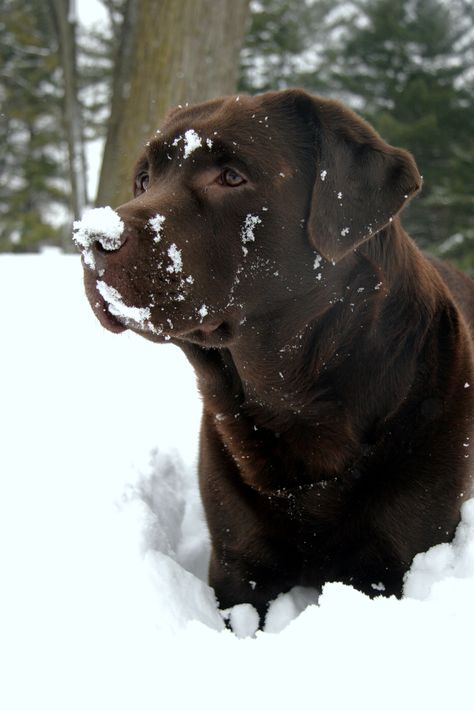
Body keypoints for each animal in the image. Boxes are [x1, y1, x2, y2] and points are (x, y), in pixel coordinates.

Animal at [74, 92, 474, 620]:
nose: (91, 240)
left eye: (231, 177)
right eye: (143, 179)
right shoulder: (237, 567)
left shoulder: (395, 563)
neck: (296, 398)